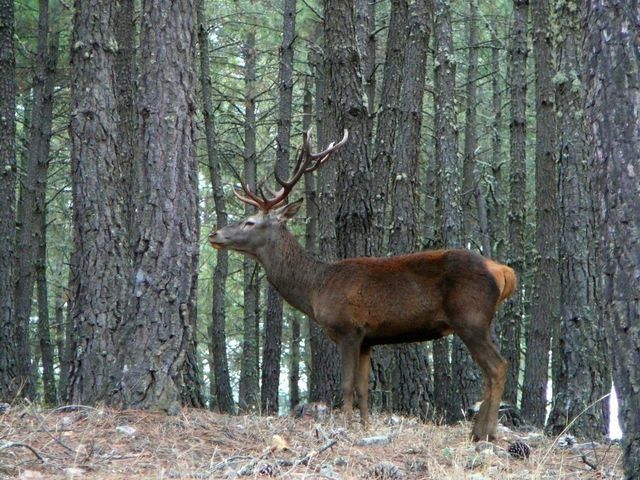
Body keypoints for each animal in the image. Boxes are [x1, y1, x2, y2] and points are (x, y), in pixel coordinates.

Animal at [210, 129, 516, 440]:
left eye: (249, 222)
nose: (214, 234)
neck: (316, 288)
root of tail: (502, 270)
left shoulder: (349, 330)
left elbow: (346, 386)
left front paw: (345, 427)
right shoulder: (369, 339)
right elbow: (363, 390)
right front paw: (367, 427)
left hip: (470, 318)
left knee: (498, 367)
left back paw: (487, 432)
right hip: (478, 322)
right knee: (493, 370)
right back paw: (479, 430)